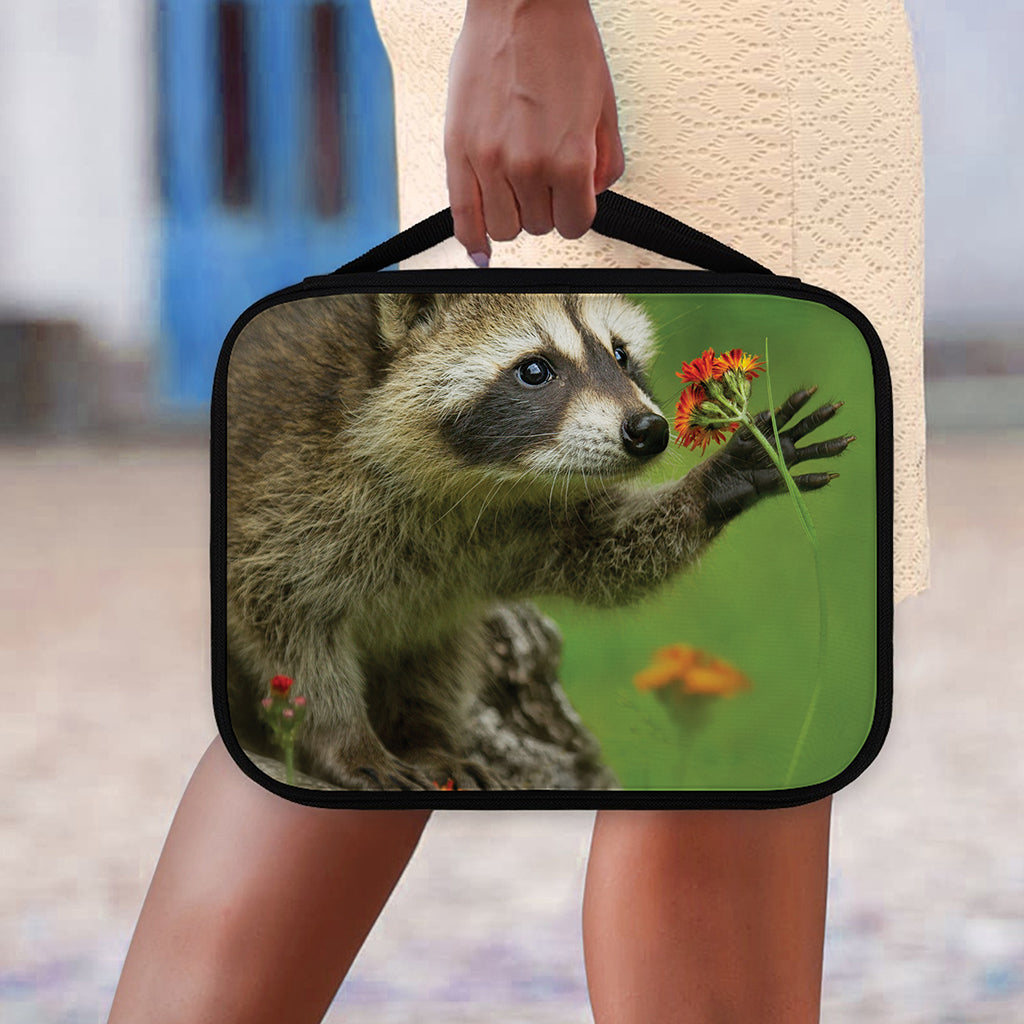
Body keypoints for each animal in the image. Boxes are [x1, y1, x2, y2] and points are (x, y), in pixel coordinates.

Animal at [226, 292, 850, 790]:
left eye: (619, 354)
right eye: (534, 370)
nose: (649, 431)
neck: (470, 484)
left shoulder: (521, 520)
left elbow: (600, 553)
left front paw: (716, 482)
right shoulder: (282, 496)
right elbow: (289, 631)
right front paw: (345, 739)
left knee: (435, 645)